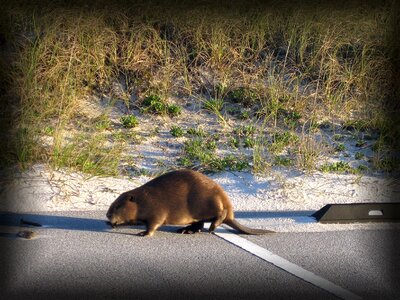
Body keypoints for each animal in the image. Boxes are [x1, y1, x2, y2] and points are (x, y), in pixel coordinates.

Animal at [106, 169, 276, 237]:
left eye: (117, 206)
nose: (107, 215)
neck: (143, 199)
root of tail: (232, 217)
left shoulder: (156, 209)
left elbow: (154, 224)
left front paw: (143, 233)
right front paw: (111, 224)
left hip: (208, 202)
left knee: (220, 214)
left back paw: (211, 228)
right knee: (200, 223)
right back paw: (186, 230)